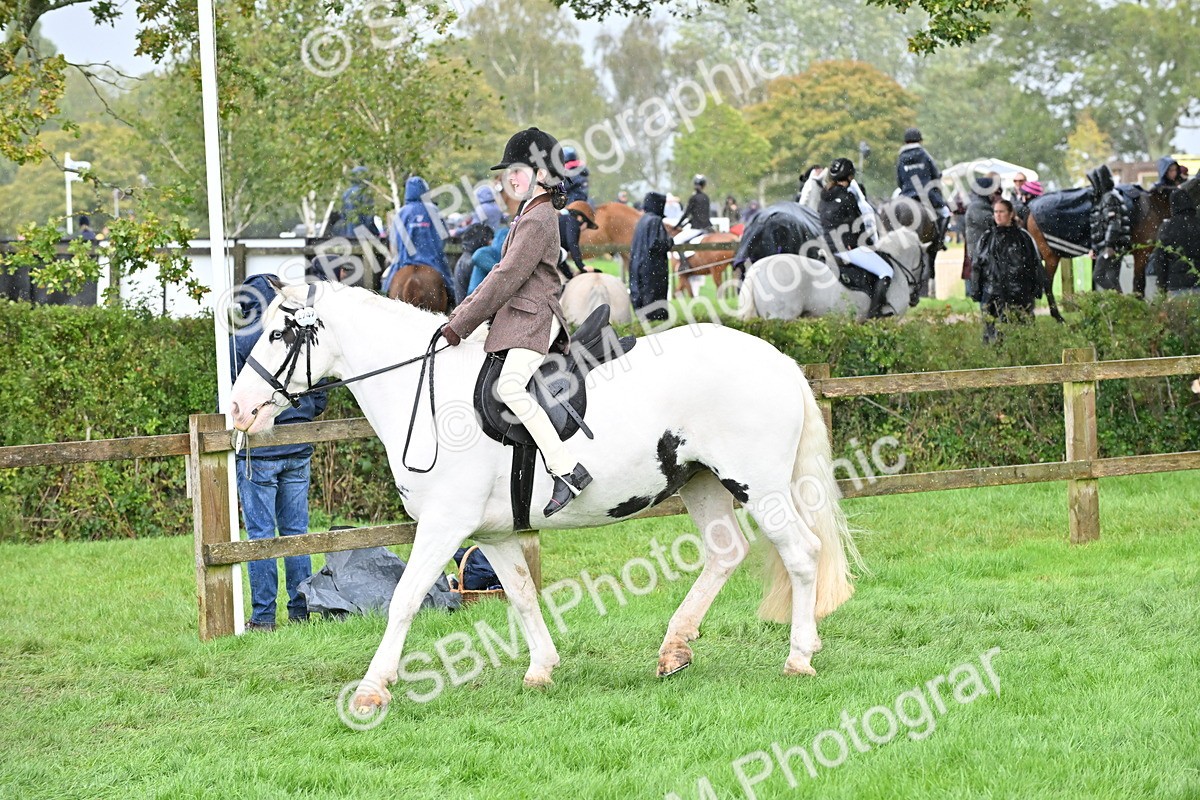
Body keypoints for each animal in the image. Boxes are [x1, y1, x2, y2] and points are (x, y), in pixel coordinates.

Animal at [229, 280, 859, 714]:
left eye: (279, 333)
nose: (236, 409)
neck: (431, 394)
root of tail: (779, 360)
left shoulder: (443, 526)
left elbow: (403, 600)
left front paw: (369, 691)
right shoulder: (492, 534)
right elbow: (523, 596)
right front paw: (541, 669)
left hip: (759, 485)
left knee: (801, 555)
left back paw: (799, 656)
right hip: (702, 482)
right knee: (725, 554)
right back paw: (675, 647)